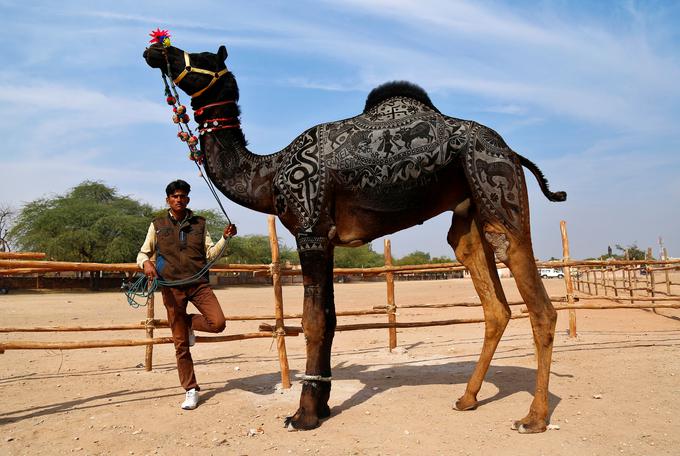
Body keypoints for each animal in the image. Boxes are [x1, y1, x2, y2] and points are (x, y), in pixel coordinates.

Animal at [145, 43, 568, 434]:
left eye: (200, 56)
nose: (155, 49)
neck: (266, 174)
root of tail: (513, 152)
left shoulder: (310, 229)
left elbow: (313, 320)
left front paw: (303, 416)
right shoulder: (327, 240)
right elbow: (330, 317)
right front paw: (322, 406)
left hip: (497, 187)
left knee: (535, 297)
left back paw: (533, 418)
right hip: (468, 215)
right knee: (492, 298)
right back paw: (467, 398)